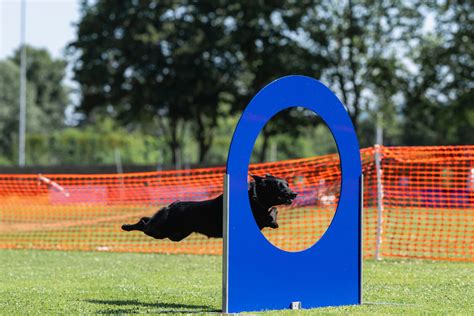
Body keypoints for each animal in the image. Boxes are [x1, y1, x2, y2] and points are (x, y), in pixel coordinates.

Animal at [121, 174, 296, 241]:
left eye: (287, 184)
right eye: (280, 186)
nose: (294, 194)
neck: (255, 198)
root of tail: (172, 205)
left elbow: (273, 210)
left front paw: (274, 220)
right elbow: (269, 214)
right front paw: (273, 221)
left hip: (175, 234)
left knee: (146, 220)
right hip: (160, 230)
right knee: (144, 223)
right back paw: (126, 226)